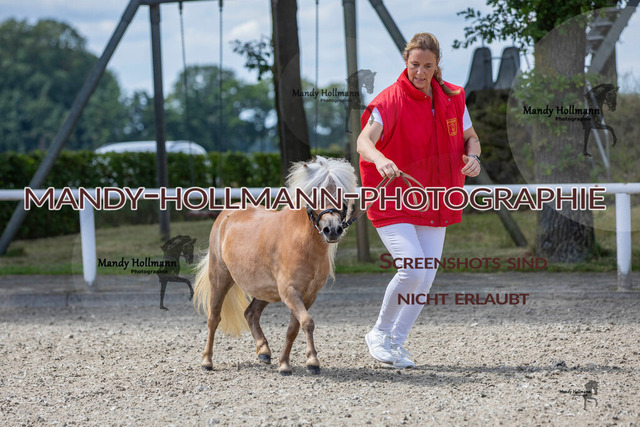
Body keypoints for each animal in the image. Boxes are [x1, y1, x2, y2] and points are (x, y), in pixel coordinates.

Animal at [192, 156, 357, 375]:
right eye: (314, 193)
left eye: (343, 193)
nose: (332, 229)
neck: (301, 241)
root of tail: (226, 213)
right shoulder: (290, 291)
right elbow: (307, 322)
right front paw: (312, 361)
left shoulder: (307, 295)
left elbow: (293, 329)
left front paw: (285, 363)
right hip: (220, 277)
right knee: (214, 318)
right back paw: (207, 361)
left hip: (265, 290)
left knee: (251, 313)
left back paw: (263, 351)